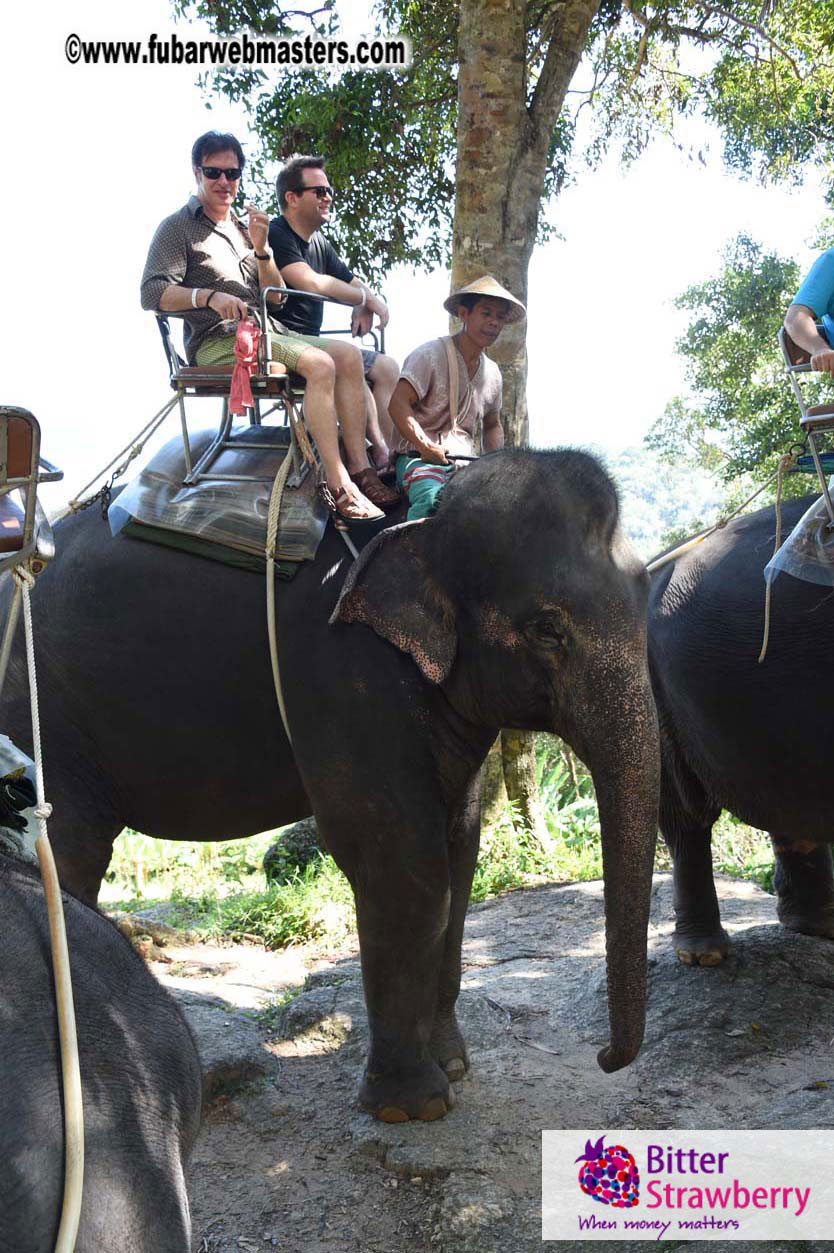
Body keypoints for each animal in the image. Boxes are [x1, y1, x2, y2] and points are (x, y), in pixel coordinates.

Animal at [0, 447, 660, 1121]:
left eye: (645, 594)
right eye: (548, 629)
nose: (604, 1058)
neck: (430, 515)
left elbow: (461, 850)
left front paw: (453, 1067)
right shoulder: (342, 669)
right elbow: (403, 860)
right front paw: (412, 1107)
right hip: (38, 708)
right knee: (65, 851)